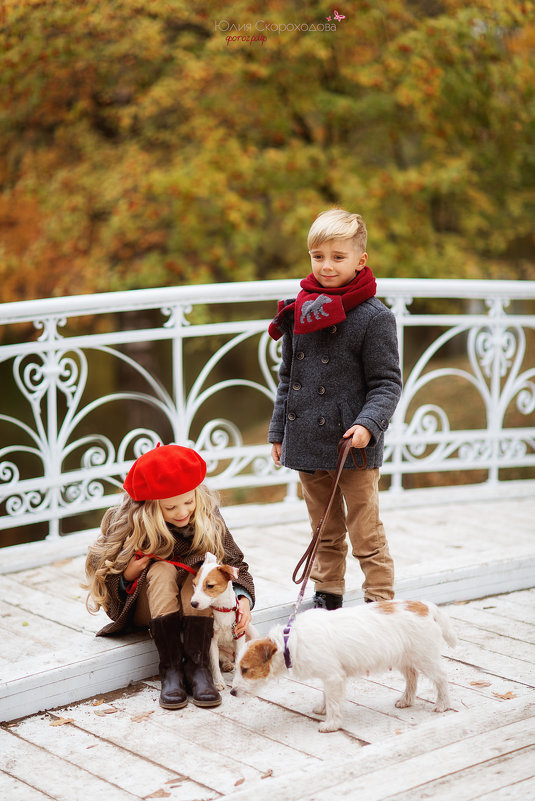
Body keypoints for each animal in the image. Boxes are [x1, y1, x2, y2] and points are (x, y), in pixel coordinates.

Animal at [191, 552, 260, 692]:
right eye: (194, 584)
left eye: (210, 585)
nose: (193, 603)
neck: (222, 609)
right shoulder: (212, 640)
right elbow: (214, 664)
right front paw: (218, 682)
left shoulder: (239, 636)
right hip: (219, 650)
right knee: (224, 659)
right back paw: (227, 665)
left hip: (252, 633)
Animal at [230, 600, 456, 732]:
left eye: (245, 669)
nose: (231, 692)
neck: (289, 642)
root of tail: (424, 606)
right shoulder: (330, 676)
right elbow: (327, 696)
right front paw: (322, 708)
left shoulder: (333, 677)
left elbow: (334, 702)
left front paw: (331, 724)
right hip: (405, 658)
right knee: (412, 677)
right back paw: (406, 700)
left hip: (425, 658)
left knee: (441, 677)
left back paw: (443, 704)